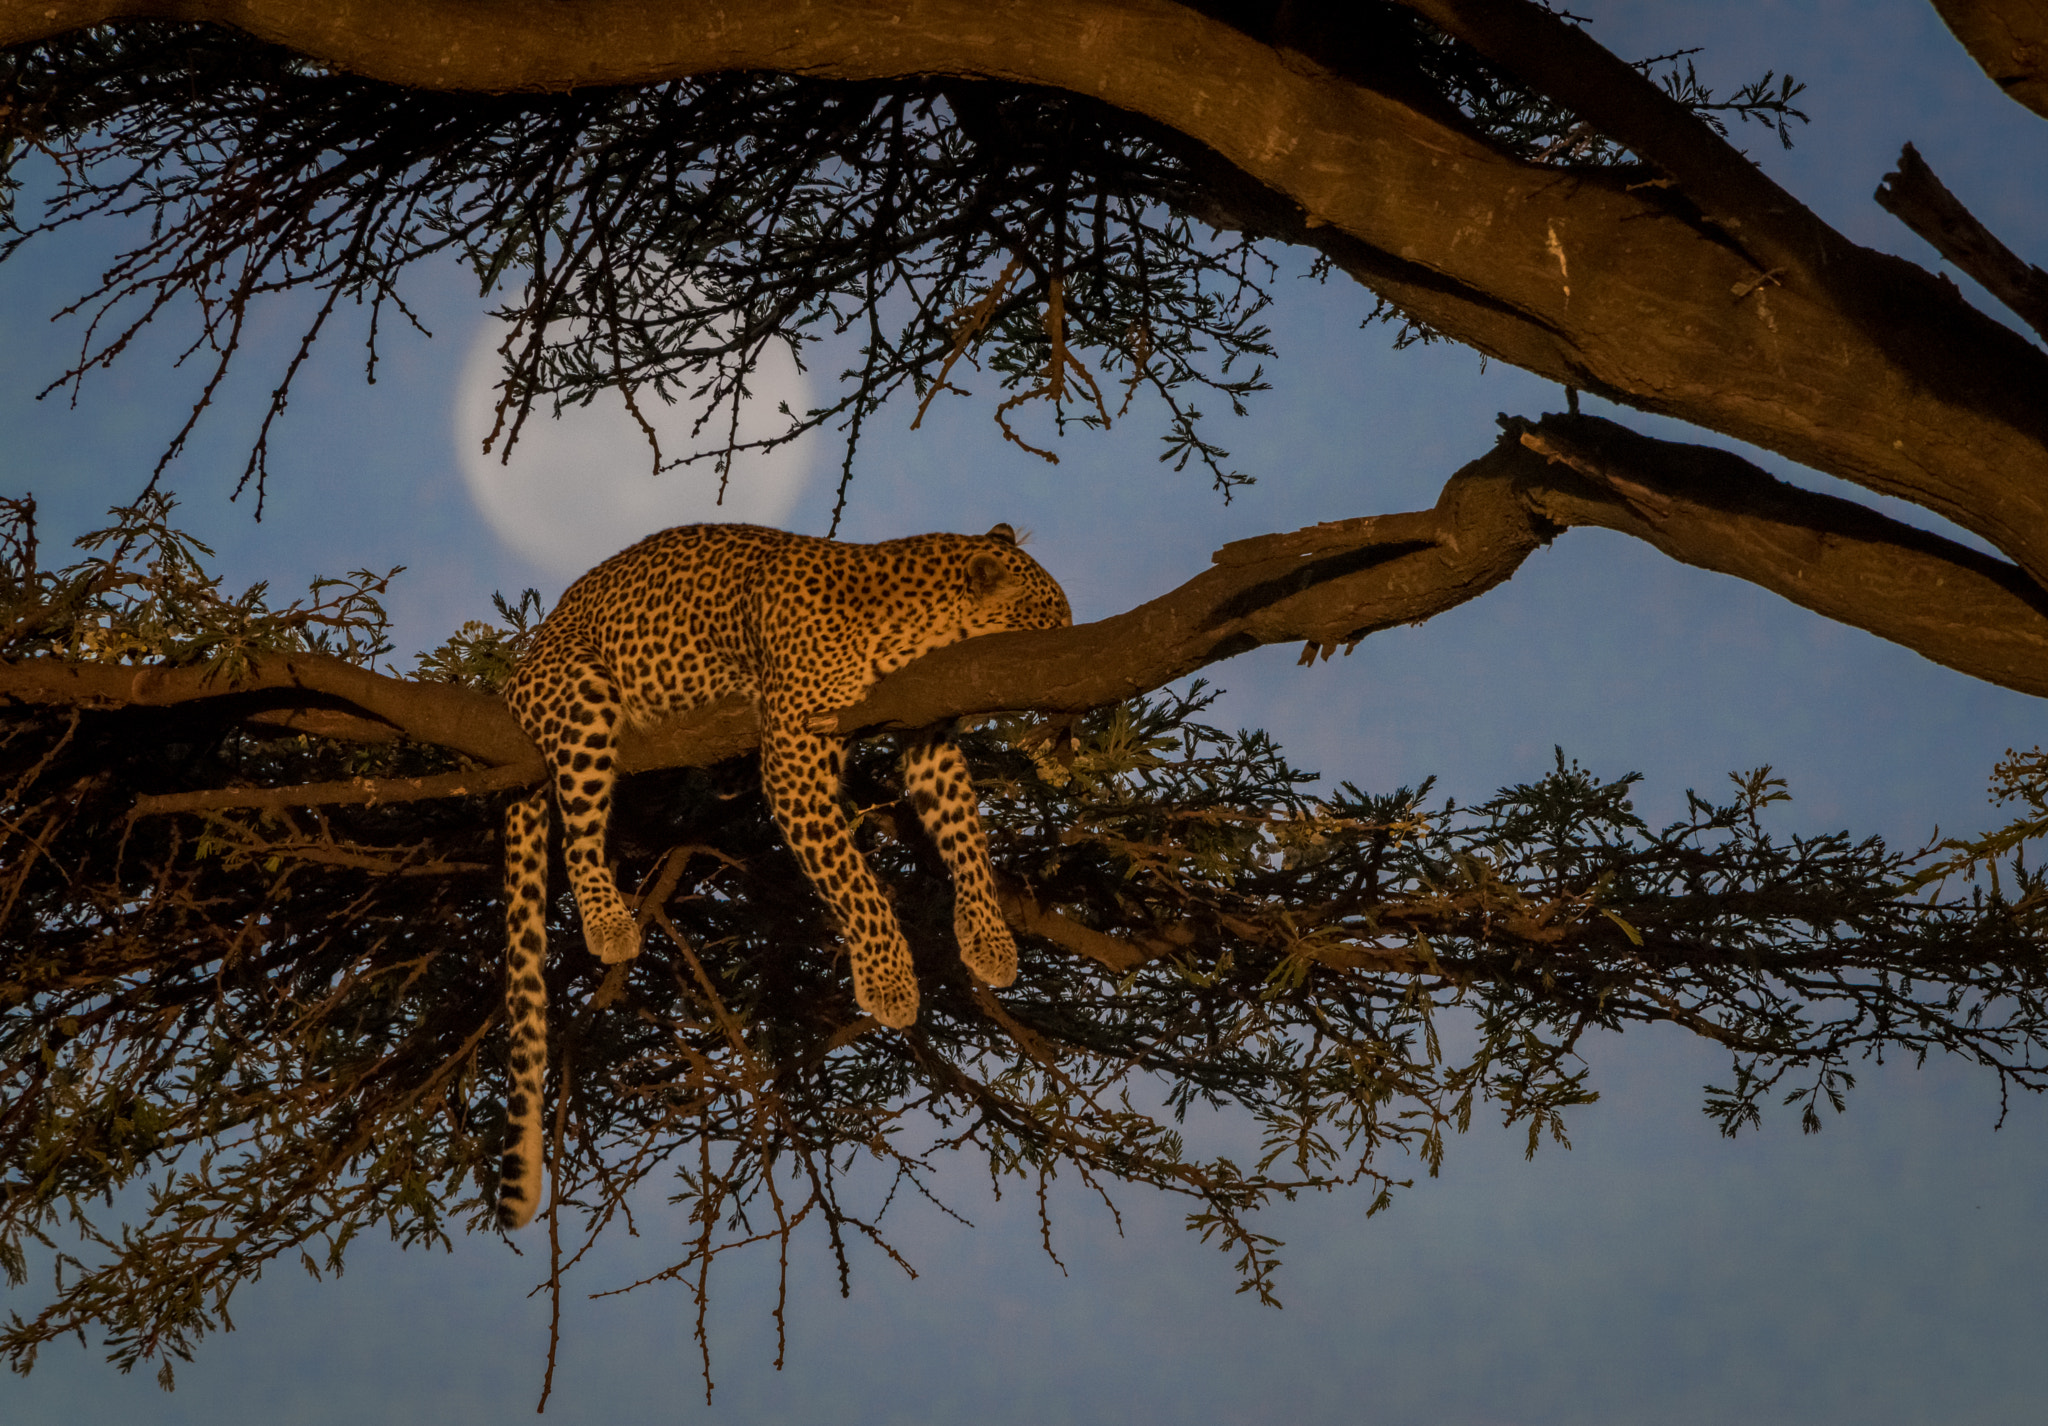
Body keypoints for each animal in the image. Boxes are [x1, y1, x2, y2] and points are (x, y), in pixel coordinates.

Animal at [495, 521, 1070, 1229]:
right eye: (1047, 623)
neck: (912, 630)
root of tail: (522, 668)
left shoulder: (928, 734)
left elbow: (967, 838)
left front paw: (987, 939)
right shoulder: (796, 757)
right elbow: (853, 879)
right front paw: (888, 980)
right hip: (580, 698)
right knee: (579, 834)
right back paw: (607, 918)